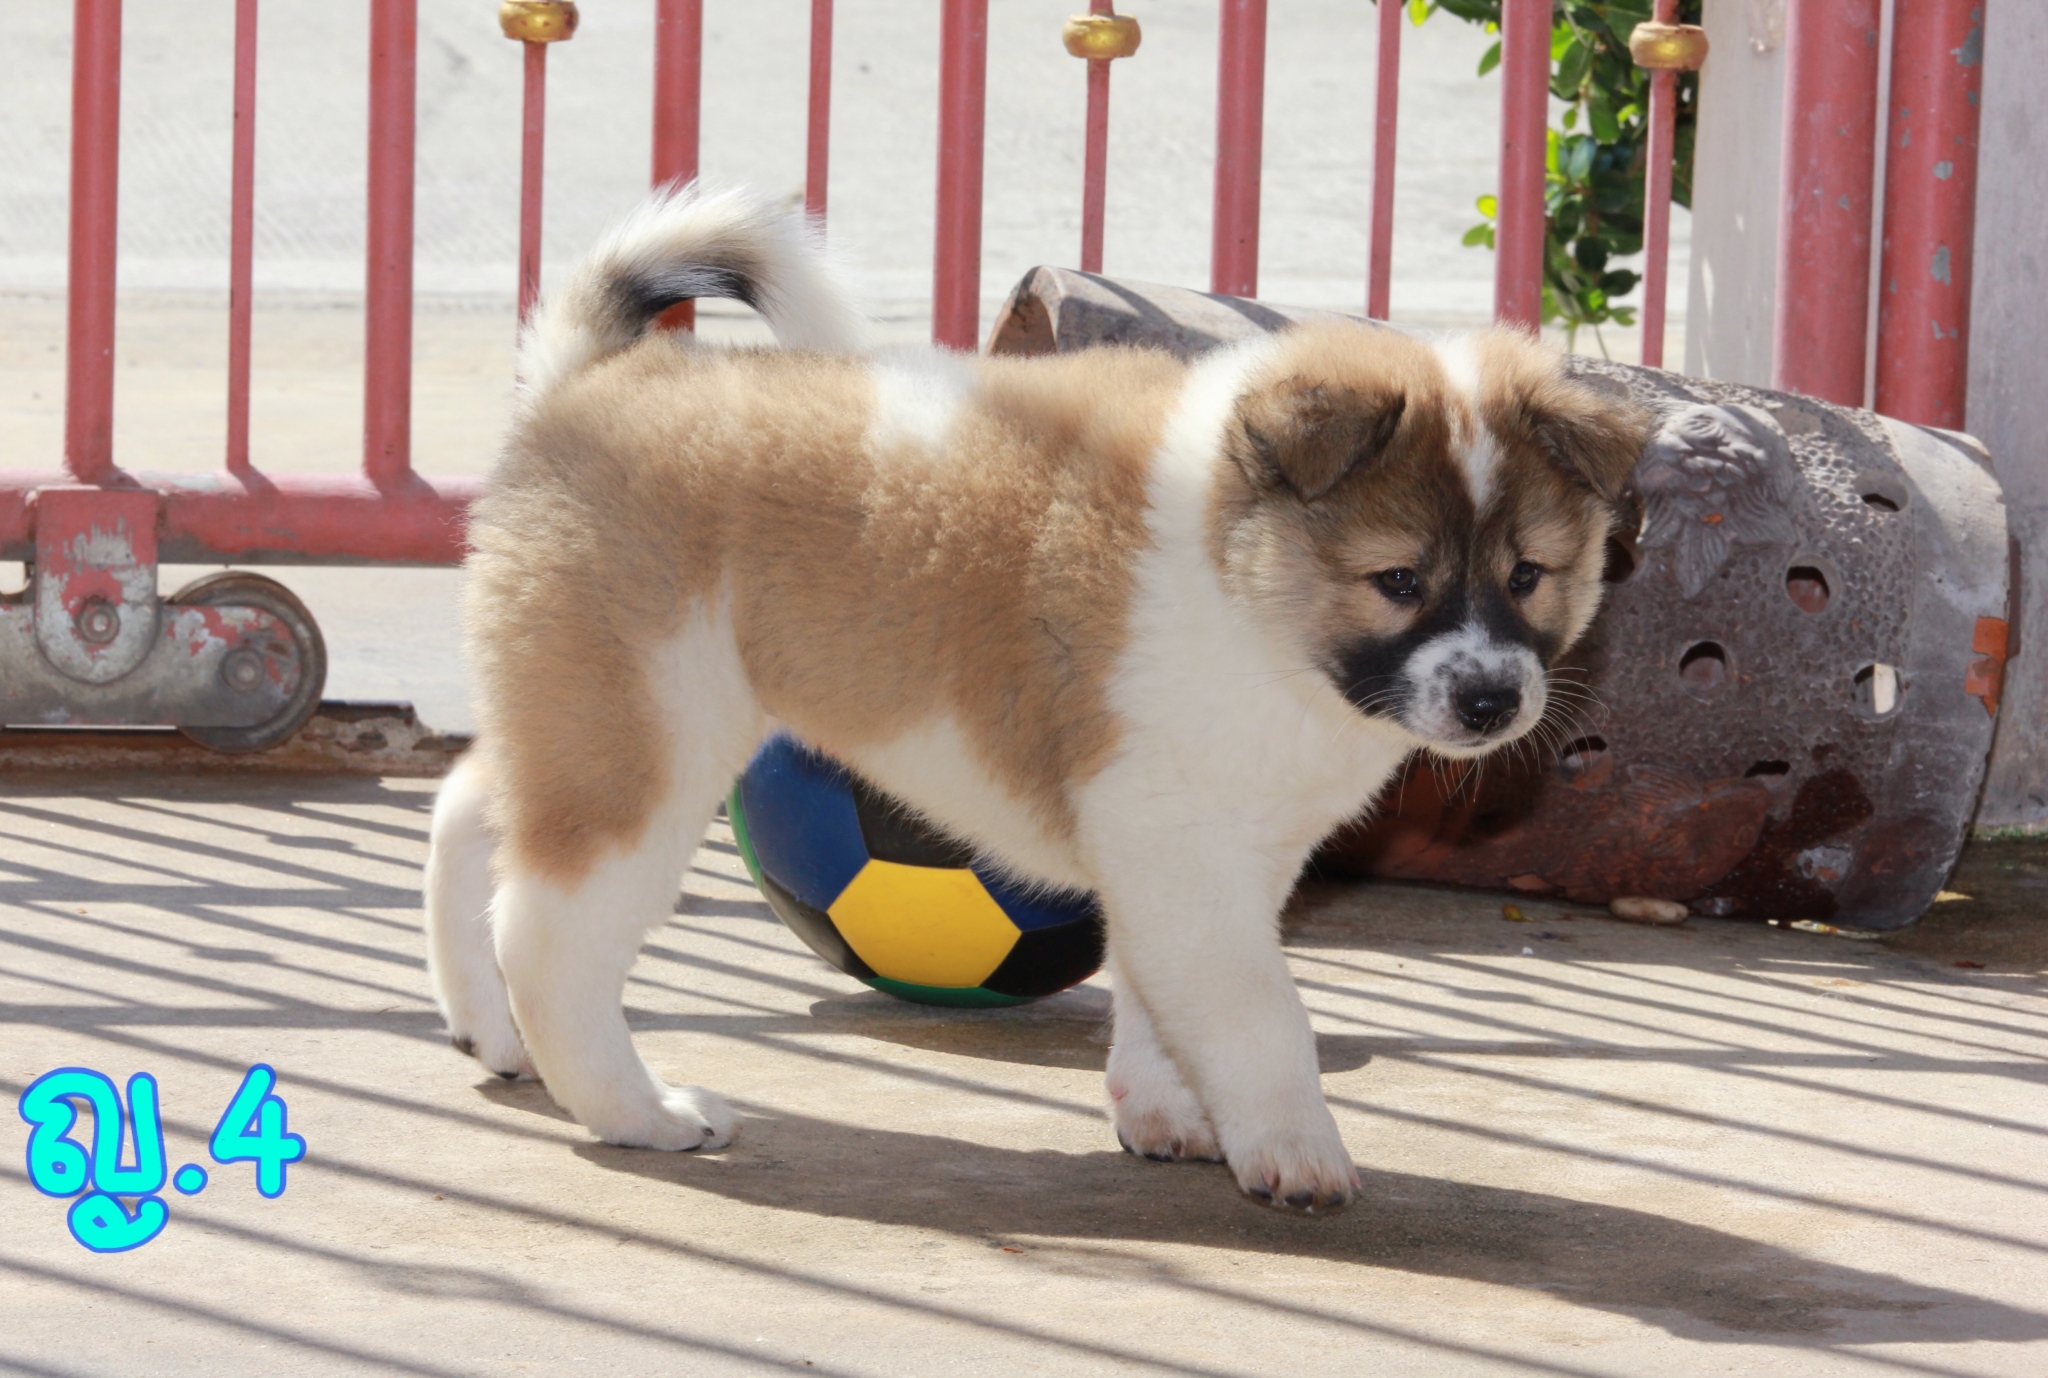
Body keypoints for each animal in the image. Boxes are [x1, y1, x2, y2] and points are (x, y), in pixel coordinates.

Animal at [425, 185, 1647, 1213]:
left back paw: (491, 1033)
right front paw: (1295, 1150)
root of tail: (587, 382)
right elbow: (1256, 1011)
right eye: (1396, 580)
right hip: (649, 733)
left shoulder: (1211, 856)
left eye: (1528, 574)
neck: (1241, 577)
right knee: (549, 928)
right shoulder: (1177, 842)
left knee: (471, 811)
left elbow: (1164, 994)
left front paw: (1164, 1115)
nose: (1491, 701)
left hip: (572, 704)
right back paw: (636, 1110)